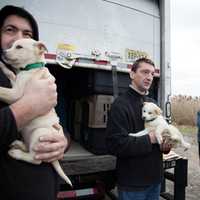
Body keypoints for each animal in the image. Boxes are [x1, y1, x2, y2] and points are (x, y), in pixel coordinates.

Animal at [0, 38, 72, 186]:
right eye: (11, 45)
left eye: (19, 47)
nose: (3, 52)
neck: (31, 68)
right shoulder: (16, 82)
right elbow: (11, 74)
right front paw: (3, 67)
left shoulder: (15, 93)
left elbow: (2, 90)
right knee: (29, 149)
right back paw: (18, 144)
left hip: (39, 133)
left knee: (36, 159)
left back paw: (15, 153)